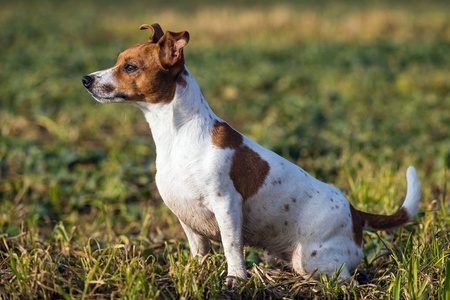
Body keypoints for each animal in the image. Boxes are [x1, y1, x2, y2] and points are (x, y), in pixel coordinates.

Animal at [83, 23, 422, 286]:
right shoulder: (186, 219)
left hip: (313, 260)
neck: (178, 134)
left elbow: (232, 248)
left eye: (129, 66)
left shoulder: (226, 206)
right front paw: (196, 274)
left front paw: (235, 279)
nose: (86, 79)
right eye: (118, 61)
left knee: (345, 279)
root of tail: (355, 213)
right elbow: (198, 253)